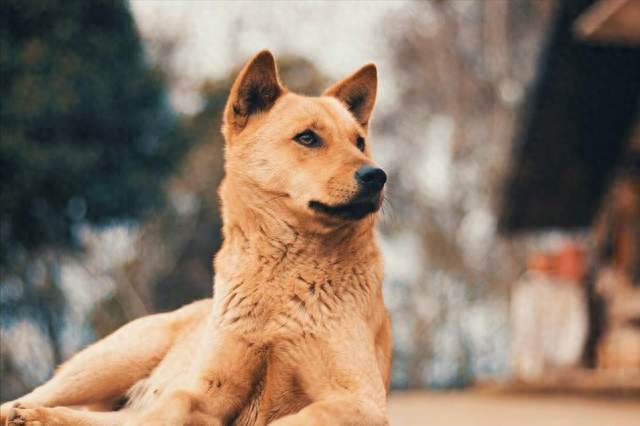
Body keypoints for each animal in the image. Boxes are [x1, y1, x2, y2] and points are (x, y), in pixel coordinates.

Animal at [1, 50, 392, 426]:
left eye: (359, 142)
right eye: (307, 138)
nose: (376, 176)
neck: (281, 278)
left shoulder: (364, 401)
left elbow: (304, 416)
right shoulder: (204, 394)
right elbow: (171, 407)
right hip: (115, 359)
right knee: (34, 397)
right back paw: (26, 412)